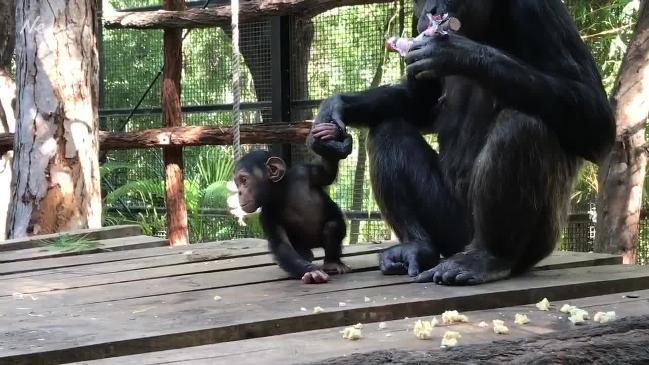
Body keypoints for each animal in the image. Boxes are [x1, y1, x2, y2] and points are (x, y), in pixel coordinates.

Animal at [234, 146, 350, 282]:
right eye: (237, 184)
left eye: (244, 180)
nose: (239, 192)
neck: (281, 191)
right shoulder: (267, 216)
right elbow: (282, 246)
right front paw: (311, 271)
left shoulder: (303, 172)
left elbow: (327, 173)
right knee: (304, 252)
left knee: (333, 226)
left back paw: (332, 263)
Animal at [308, 0, 612, 284]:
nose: (432, 9)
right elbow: (420, 101)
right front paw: (336, 108)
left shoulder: (539, 11)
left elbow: (596, 117)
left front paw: (456, 53)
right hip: (450, 228)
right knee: (388, 129)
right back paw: (416, 247)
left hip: (538, 242)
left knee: (522, 124)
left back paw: (487, 257)